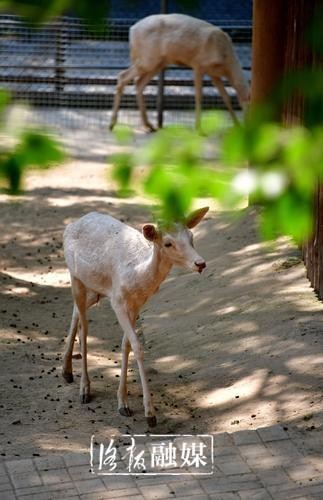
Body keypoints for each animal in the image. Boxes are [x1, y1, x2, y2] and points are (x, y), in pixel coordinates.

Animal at [62, 207, 210, 426]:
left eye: (191, 236)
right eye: (168, 243)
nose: (200, 263)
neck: (138, 278)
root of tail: (72, 224)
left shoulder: (137, 304)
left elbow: (126, 345)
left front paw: (122, 403)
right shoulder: (117, 301)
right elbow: (138, 347)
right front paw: (150, 414)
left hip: (95, 290)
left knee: (75, 313)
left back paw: (66, 371)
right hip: (75, 276)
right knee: (84, 326)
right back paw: (84, 389)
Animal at [109, 12, 251, 132]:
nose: (250, 127)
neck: (226, 62)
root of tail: (131, 30)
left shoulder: (214, 74)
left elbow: (226, 98)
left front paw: (237, 125)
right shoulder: (198, 64)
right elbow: (199, 96)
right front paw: (199, 128)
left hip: (158, 63)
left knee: (139, 83)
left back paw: (149, 125)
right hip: (147, 58)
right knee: (123, 76)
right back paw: (112, 124)